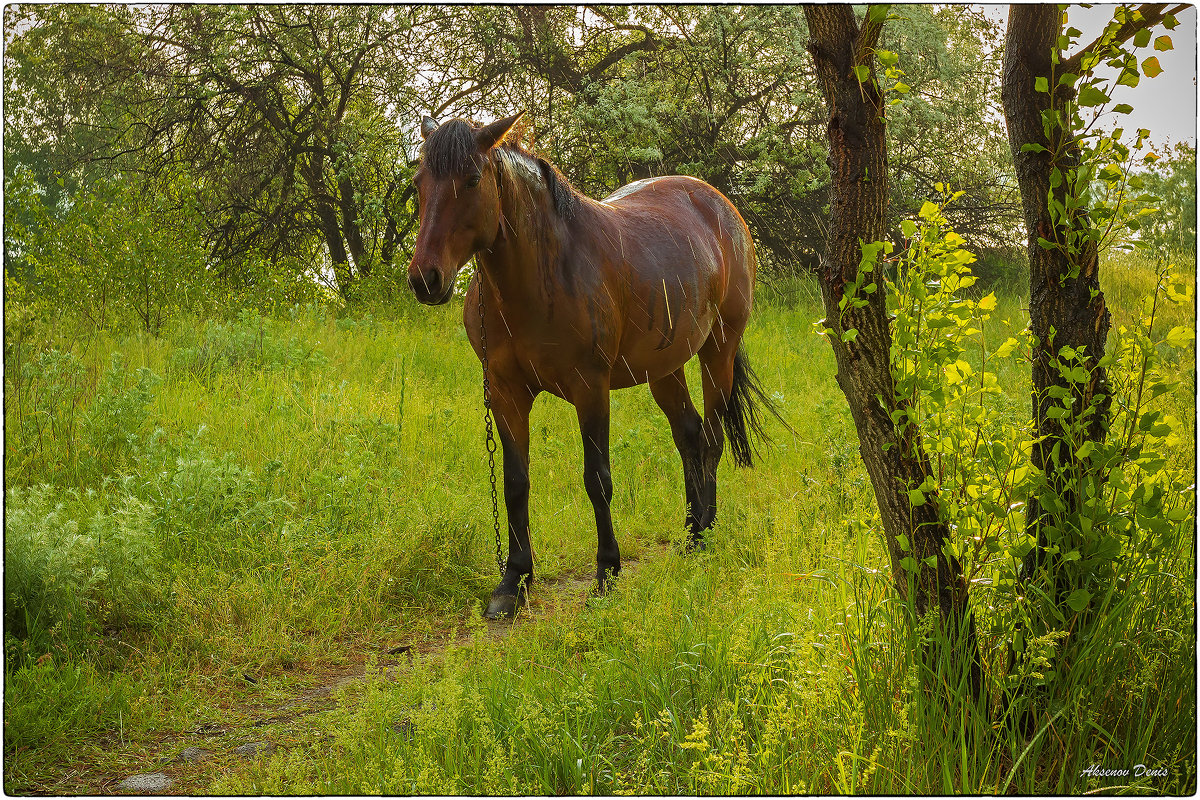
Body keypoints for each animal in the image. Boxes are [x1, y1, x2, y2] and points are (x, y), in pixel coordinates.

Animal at [405, 110, 777, 618]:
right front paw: (513, 582)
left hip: (717, 350)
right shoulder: (504, 391)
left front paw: (606, 573)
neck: (544, 273)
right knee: (691, 438)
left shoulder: (590, 388)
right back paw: (692, 530)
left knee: (714, 440)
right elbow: (515, 482)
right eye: (419, 181)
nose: (426, 279)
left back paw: (707, 534)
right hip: (664, 368)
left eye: (473, 178)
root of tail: (721, 206)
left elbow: (597, 480)